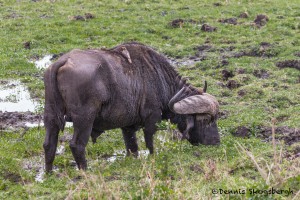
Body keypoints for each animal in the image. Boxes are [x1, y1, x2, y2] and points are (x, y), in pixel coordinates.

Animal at [43, 42, 219, 172]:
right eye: (205, 120)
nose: (216, 142)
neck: (158, 77)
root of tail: (63, 61)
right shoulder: (152, 119)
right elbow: (150, 143)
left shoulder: (127, 126)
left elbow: (132, 147)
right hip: (84, 119)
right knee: (77, 145)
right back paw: (85, 171)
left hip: (50, 115)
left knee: (49, 144)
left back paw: (49, 172)